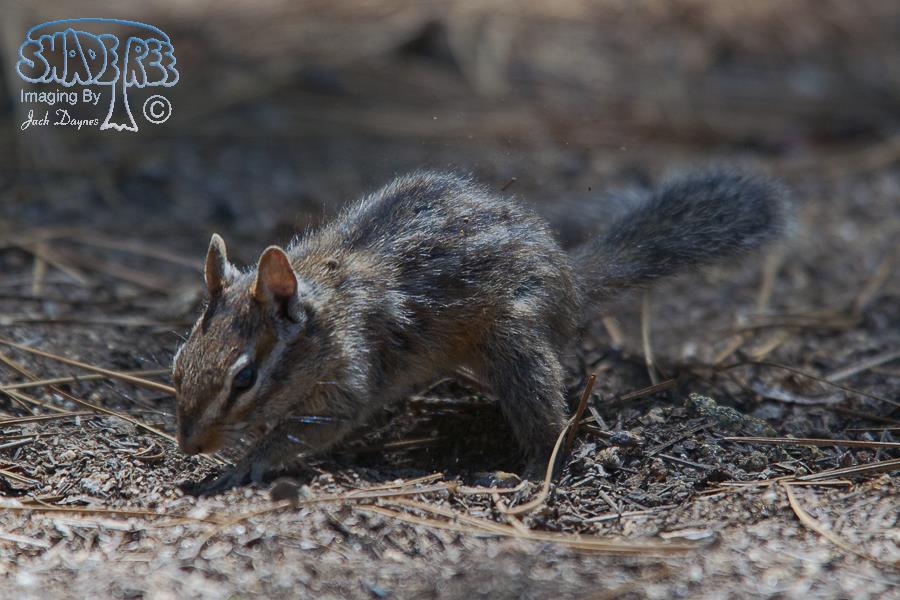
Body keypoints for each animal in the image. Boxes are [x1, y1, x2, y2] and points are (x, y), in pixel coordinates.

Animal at [172, 169, 787, 494]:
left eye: (245, 378)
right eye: (177, 364)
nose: (188, 445)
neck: (328, 308)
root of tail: (570, 279)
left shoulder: (350, 376)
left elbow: (311, 427)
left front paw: (243, 464)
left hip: (515, 338)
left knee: (549, 421)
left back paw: (533, 470)